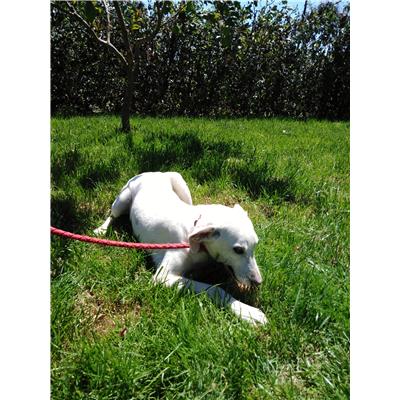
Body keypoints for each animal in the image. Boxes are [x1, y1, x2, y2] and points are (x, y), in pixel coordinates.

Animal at [94, 172, 266, 325]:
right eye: (238, 250)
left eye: (255, 245)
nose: (258, 282)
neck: (193, 229)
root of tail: (150, 173)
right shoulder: (163, 277)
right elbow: (216, 289)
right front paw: (247, 311)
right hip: (122, 200)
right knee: (111, 215)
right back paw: (101, 230)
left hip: (181, 184)